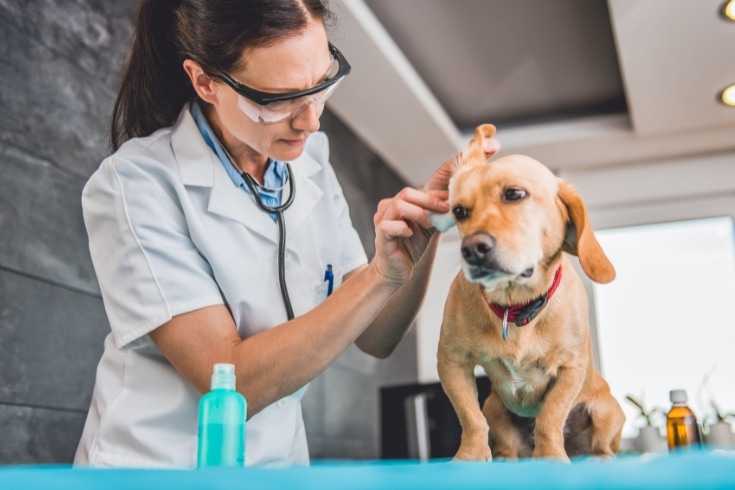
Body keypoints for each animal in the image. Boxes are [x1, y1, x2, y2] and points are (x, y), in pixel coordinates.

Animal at [432, 124, 628, 462]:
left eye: (514, 194)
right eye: (459, 211)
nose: (471, 249)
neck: (516, 306)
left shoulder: (570, 368)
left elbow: (549, 418)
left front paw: (550, 456)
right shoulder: (452, 361)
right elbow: (470, 418)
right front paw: (470, 455)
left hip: (607, 409)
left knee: (601, 444)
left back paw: (599, 457)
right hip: (494, 406)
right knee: (502, 439)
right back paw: (506, 457)